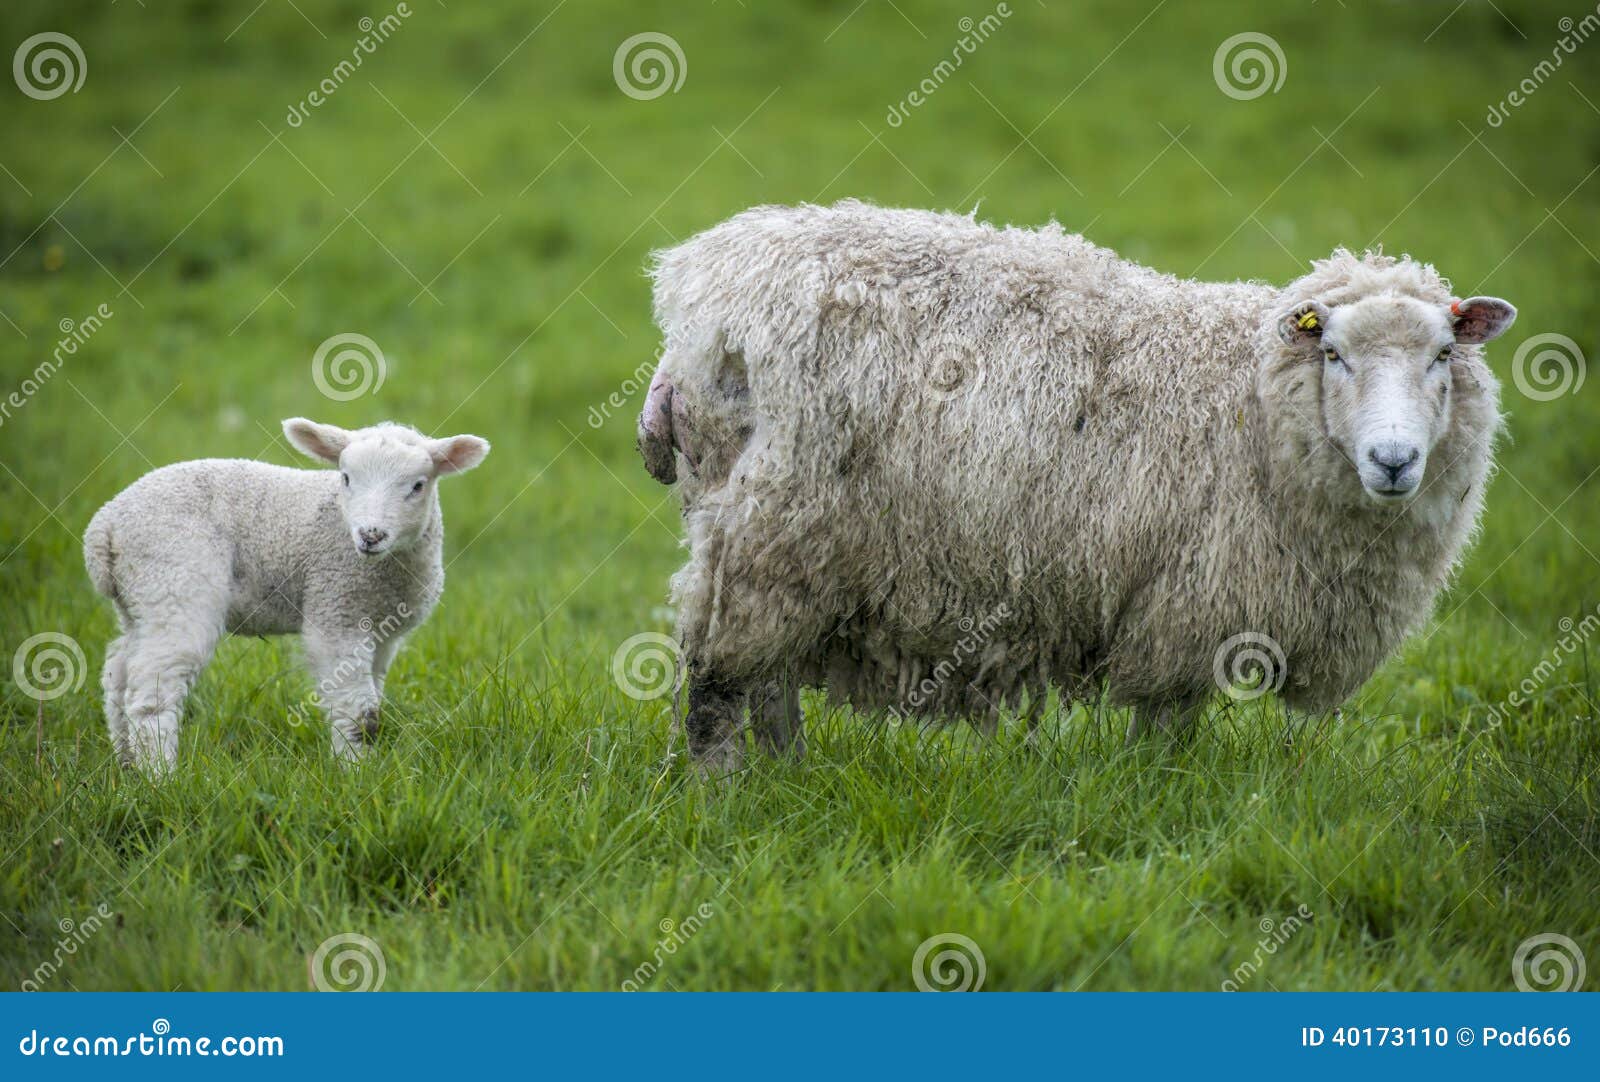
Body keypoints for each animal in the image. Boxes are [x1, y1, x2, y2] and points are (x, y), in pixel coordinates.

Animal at [81, 416, 489, 777]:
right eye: (346, 478)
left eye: (418, 486)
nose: (371, 535)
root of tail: (104, 528)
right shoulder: (336, 609)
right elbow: (358, 713)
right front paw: (356, 774)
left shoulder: (382, 632)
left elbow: (373, 705)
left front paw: (368, 769)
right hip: (175, 582)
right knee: (152, 688)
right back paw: (160, 777)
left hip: (140, 599)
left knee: (119, 673)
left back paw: (127, 763)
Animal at [633, 198, 1510, 774]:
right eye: (1334, 354)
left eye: (1443, 355)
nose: (1394, 460)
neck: (1254, 400)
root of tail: (694, 298)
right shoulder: (1189, 601)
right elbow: (1169, 722)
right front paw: (1163, 794)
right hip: (776, 521)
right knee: (717, 677)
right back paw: (726, 790)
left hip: (781, 538)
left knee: (766, 674)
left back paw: (787, 773)